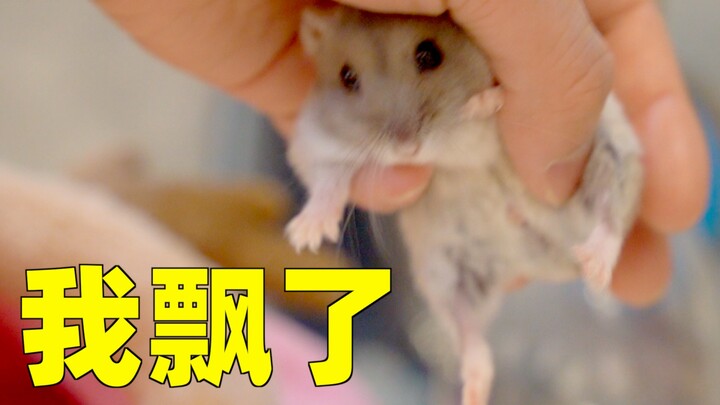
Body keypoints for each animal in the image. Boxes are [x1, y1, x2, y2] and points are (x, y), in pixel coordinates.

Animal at [285, 6, 643, 405]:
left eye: (429, 55)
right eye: (347, 78)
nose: (407, 148)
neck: (443, 153)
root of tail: (554, 264)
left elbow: (490, 112)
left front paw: (481, 103)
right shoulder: (313, 144)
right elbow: (329, 180)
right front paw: (304, 236)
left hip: (616, 154)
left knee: (611, 219)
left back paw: (594, 269)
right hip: (449, 273)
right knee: (470, 333)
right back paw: (473, 390)